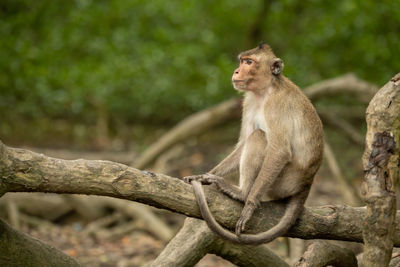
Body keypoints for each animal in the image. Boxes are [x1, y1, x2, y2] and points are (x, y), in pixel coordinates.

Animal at [183, 43, 324, 246]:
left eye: (249, 62)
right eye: (242, 61)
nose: (236, 71)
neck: (265, 91)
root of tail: (307, 183)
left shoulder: (276, 106)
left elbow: (279, 151)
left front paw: (249, 205)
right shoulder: (249, 101)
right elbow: (243, 143)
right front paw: (204, 175)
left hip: (283, 182)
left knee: (259, 137)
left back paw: (242, 193)